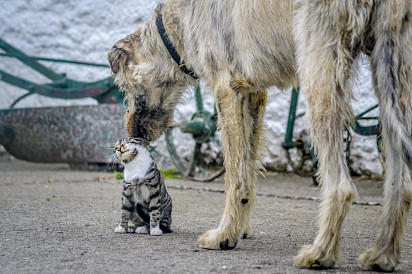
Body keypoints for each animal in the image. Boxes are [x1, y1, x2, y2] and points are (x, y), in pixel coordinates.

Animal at [108, 0, 412, 270]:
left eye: (123, 88)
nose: (132, 133)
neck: (175, 23)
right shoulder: (253, 93)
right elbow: (248, 170)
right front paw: (240, 228)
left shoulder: (226, 90)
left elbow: (234, 176)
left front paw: (224, 235)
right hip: (392, 69)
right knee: (401, 180)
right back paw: (381, 257)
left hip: (319, 72)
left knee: (341, 185)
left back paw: (320, 255)